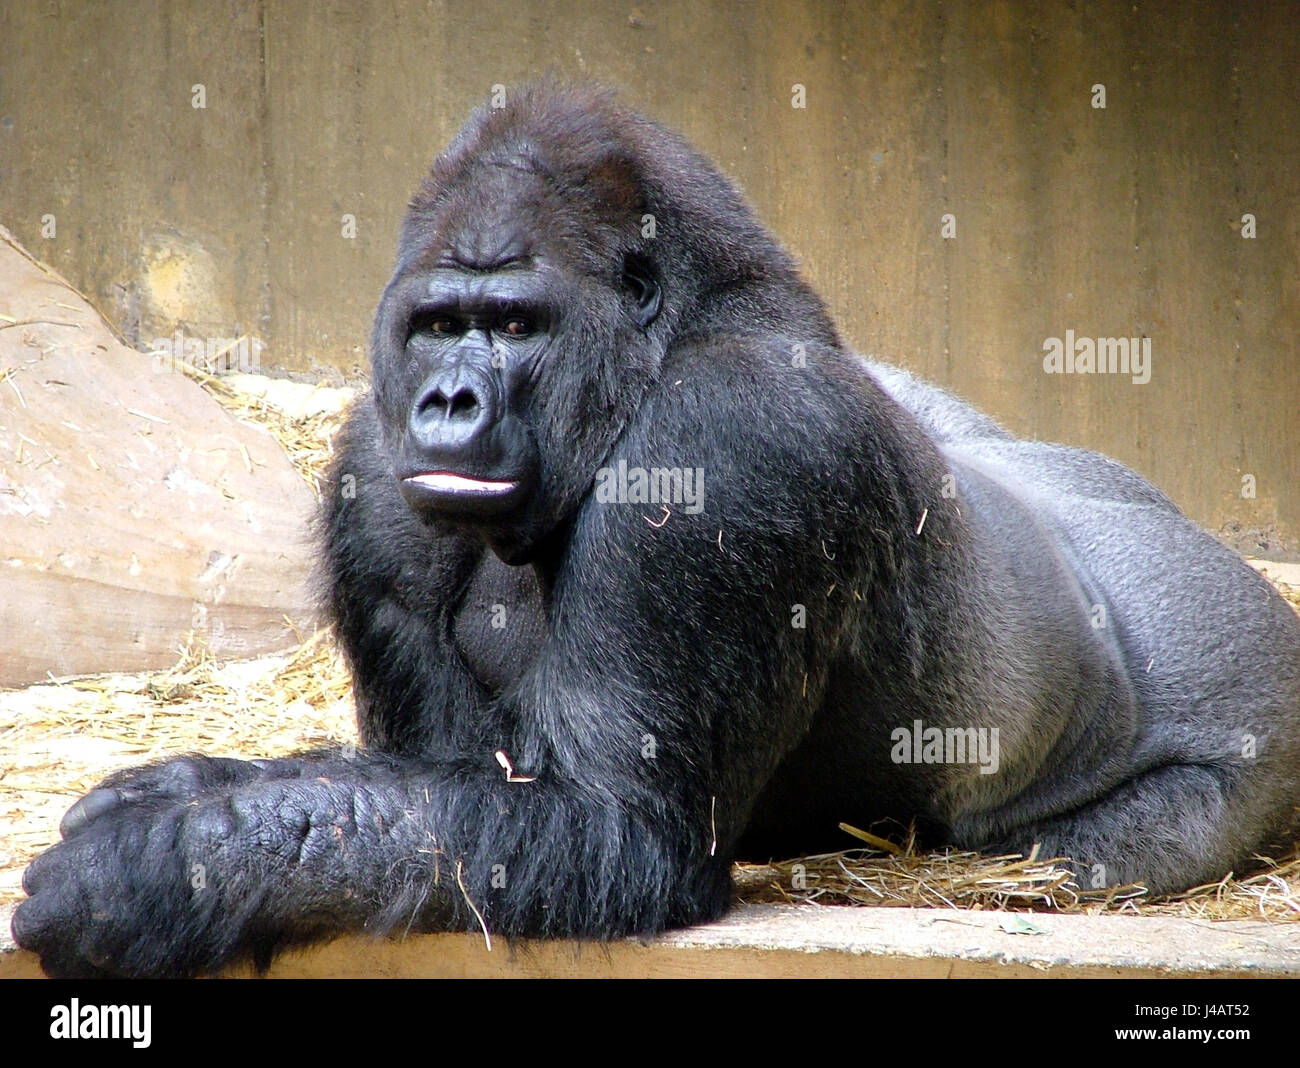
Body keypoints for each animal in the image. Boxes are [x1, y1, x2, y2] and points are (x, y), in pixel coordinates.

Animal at [12, 83, 1300, 977]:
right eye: (437, 324)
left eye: (514, 324)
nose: (447, 401)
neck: (666, 343)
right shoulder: (378, 474)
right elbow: (435, 787)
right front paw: (194, 804)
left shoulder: (731, 445)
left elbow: (611, 831)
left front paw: (168, 865)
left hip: (1246, 714)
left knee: (1091, 850)